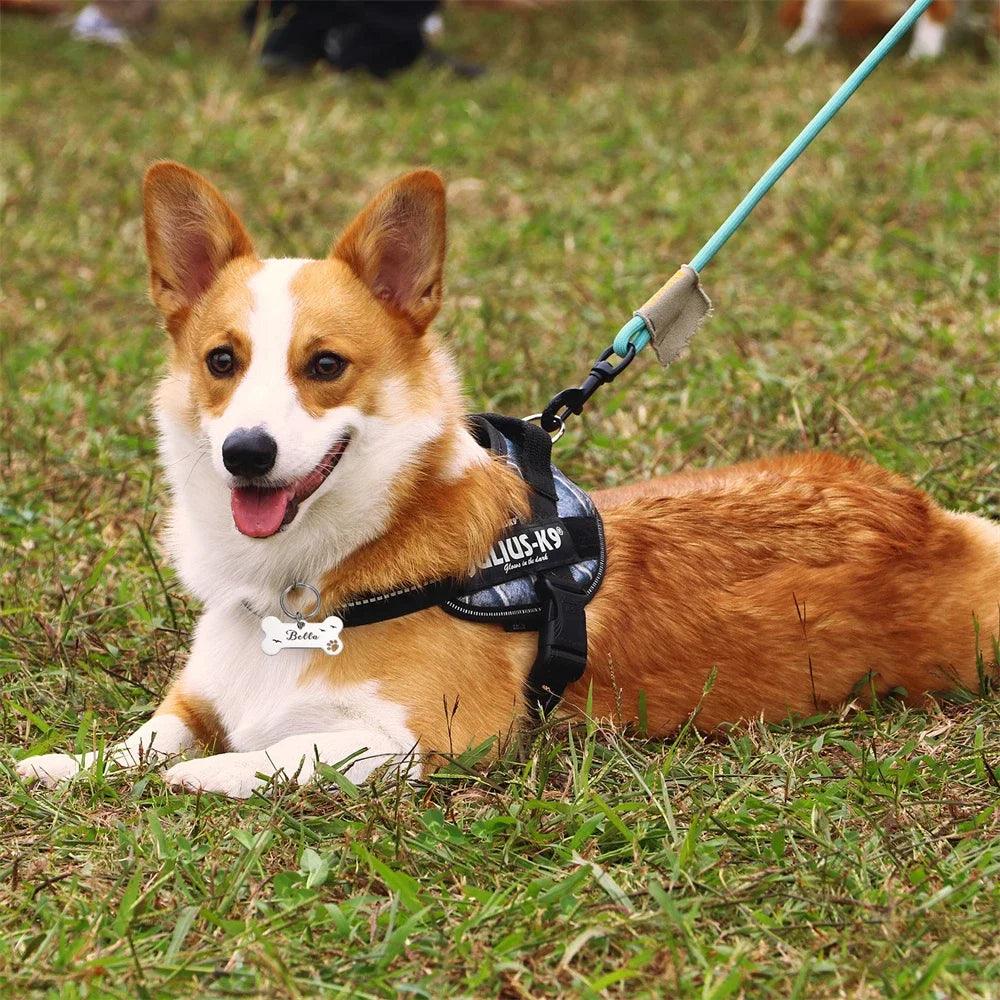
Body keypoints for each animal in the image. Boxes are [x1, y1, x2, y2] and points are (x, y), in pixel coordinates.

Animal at [17, 162, 1000, 796]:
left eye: (325, 365)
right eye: (221, 360)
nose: (246, 454)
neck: (304, 586)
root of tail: (933, 523)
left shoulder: (428, 739)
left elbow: (252, 760)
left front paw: (190, 779)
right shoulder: (197, 696)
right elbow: (143, 740)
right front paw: (65, 768)